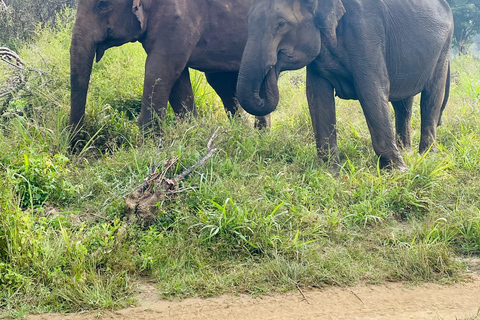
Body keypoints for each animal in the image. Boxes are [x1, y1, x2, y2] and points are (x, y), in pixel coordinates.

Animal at [70, 0, 270, 131]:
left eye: (104, 4)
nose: (76, 145)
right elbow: (177, 78)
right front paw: (191, 131)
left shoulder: (178, 18)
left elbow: (159, 69)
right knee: (223, 83)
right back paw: (247, 133)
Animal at [236, 0, 454, 171]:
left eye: (281, 24)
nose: (273, 67)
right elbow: (317, 97)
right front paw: (330, 173)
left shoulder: (366, 31)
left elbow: (372, 90)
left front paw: (398, 171)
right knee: (403, 104)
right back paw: (407, 152)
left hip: (443, 51)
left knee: (431, 98)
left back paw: (427, 157)